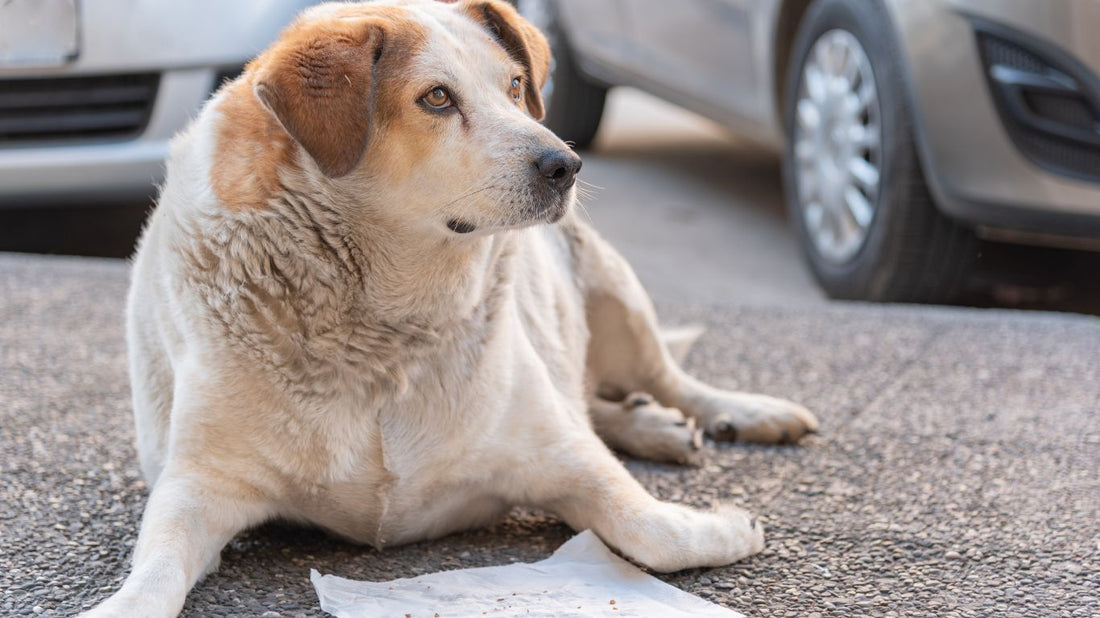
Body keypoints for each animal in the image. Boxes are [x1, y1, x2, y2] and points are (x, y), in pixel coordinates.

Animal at [85, 2, 818, 611]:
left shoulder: (559, 453)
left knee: (664, 376)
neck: (383, 327)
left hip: (611, 286)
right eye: (437, 97)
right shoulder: (198, 485)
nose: (566, 165)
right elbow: (153, 573)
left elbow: (651, 530)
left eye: (515, 87)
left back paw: (736, 413)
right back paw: (650, 423)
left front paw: (725, 525)